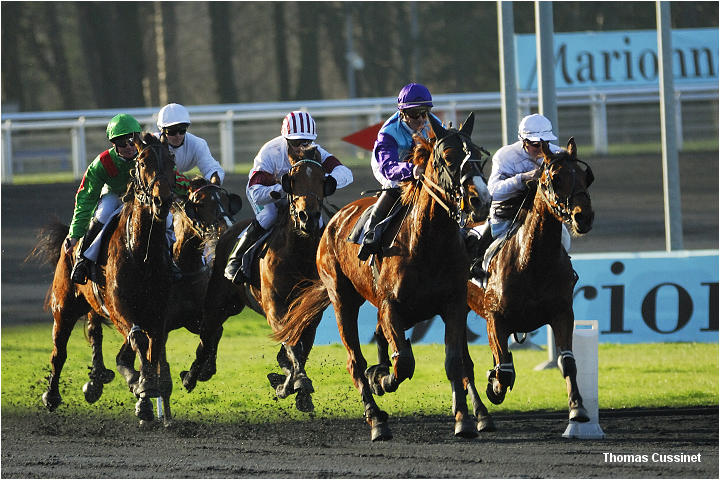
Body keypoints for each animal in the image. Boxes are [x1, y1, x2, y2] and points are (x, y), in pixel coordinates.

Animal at [32, 133, 180, 426]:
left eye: (171, 160)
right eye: (143, 162)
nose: (162, 200)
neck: (141, 254)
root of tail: (69, 236)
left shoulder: (158, 312)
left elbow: (152, 349)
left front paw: (145, 398)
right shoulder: (120, 308)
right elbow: (138, 340)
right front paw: (143, 386)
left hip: (92, 305)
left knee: (93, 331)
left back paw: (97, 378)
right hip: (63, 307)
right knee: (59, 352)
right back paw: (52, 395)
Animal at [181, 146, 336, 412]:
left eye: (321, 179)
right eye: (292, 180)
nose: (308, 217)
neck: (298, 253)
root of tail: (226, 230)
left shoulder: (310, 312)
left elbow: (300, 348)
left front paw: (289, 386)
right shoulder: (276, 308)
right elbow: (292, 344)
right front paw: (299, 381)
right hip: (218, 303)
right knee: (207, 336)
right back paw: (191, 376)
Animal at [272, 113, 492, 442]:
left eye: (478, 155)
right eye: (448, 158)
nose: (481, 200)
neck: (427, 242)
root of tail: (333, 220)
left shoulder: (453, 304)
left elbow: (455, 361)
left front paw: (464, 420)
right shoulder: (391, 306)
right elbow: (404, 362)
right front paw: (382, 380)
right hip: (342, 300)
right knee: (355, 361)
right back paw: (376, 418)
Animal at [466, 138, 596, 424]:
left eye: (585, 177)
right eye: (555, 178)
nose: (583, 217)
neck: (532, 263)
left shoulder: (562, 312)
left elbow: (567, 361)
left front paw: (577, 407)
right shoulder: (495, 317)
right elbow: (504, 370)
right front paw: (494, 384)